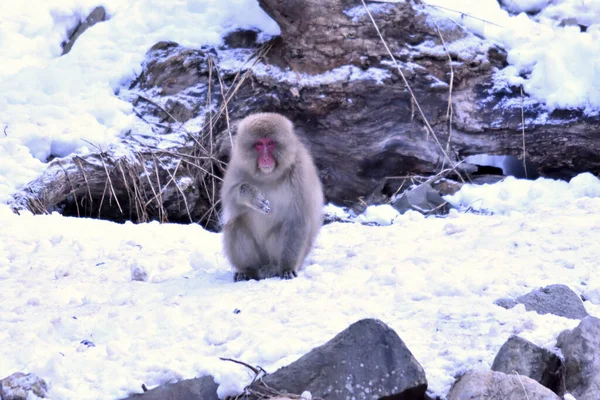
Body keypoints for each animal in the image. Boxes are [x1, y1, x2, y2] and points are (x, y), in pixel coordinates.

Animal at [219, 112, 324, 282]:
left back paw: (274, 268)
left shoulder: (301, 174)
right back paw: (248, 271)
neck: (268, 176)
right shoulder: (238, 166)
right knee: (235, 223)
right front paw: (252, 196)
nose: (266, 159)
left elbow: (298, 219)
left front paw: (287, 268)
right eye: (259, 144)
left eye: (271, 143)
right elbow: (230, 201)